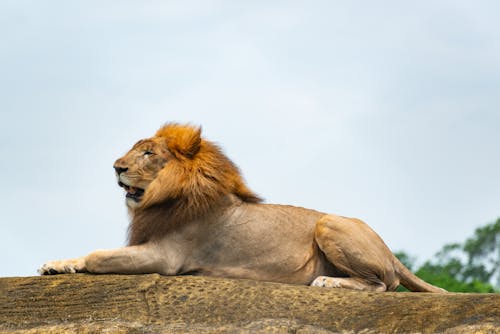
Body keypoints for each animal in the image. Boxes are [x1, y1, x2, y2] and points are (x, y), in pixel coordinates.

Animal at [39, 122, 446, 292]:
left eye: (148, 153)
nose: (116, 167)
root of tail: (390, 252)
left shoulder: (166, 256)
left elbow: (98, 256)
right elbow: (88, 254)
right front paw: (55, 265)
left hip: (329, 224)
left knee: (383, 285)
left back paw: (329, 281)